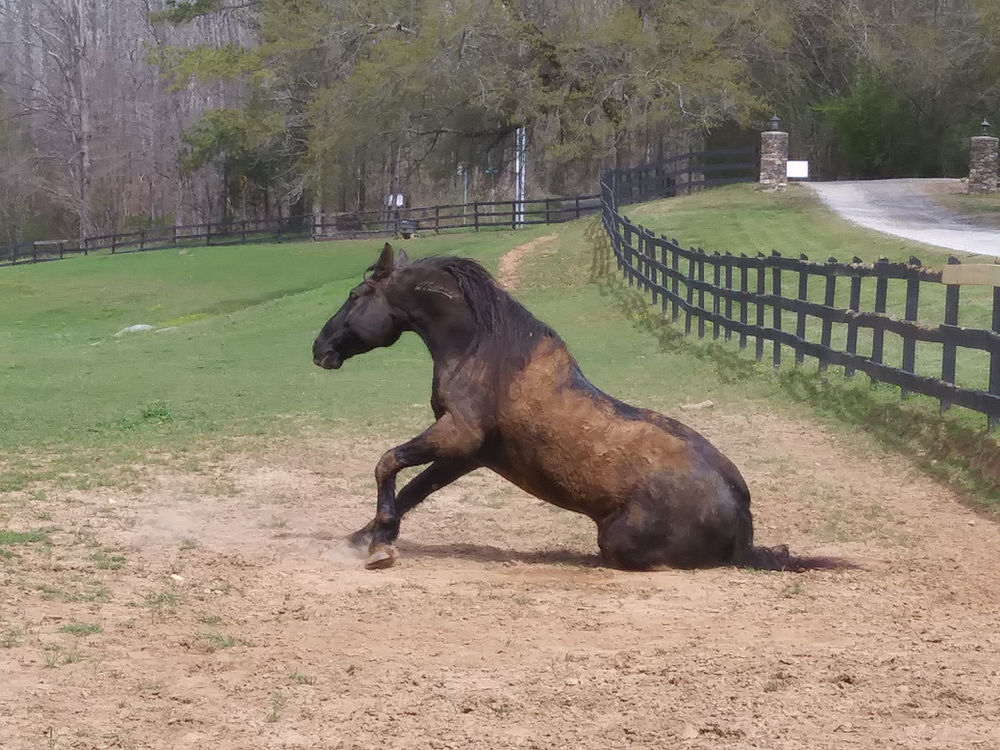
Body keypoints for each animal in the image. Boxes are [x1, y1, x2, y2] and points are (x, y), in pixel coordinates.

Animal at [312, 243, 842, 572]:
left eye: (356, 295)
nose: (318, 348)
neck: (485, 349)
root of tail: (742, 518)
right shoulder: (468, 453)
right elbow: (413, 490)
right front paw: (366, 538)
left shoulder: (458, 434)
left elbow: (387, 463)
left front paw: (379, 548)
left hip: (618, 538)